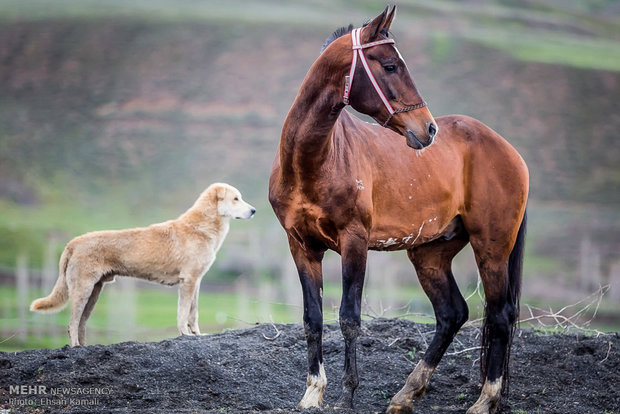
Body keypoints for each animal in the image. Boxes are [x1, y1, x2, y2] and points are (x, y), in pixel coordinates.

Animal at [29, 183, 254, 348]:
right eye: (236, 198)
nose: (254, 210)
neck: (201, 227)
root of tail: (73, 243)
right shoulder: (188, 281)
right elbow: (183, 313)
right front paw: (185, 334)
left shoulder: (196, 282)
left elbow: (193, 313)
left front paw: (197, 334)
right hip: (82, 290)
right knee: (72, 324)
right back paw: (75, 347)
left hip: (94, 292)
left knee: (82, 323)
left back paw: (85, 348)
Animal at [268, 6, 528, 414]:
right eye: (390, 65)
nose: (429, 128)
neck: (312, 162)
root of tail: (509, 151)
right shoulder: (301, 246)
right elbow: (312, 319)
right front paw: (312, 393)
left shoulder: (354, 242)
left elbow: (349, 318)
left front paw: (347, 394)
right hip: (430, 254)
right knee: (452, 314)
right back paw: (406, 394)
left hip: (492, 248)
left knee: (500, 316)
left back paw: (485, 400)